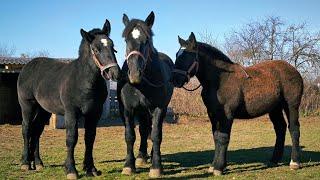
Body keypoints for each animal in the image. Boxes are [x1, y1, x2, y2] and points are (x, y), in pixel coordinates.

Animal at [17, 19, 120, 179]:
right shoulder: (71, 113)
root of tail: (27, 67)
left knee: (37, 131)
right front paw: (71, 170)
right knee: (26, 129)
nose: (115, 73)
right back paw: (26, 163)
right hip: (28, 106)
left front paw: (91, 169)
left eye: (112, 46)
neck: (84, 81)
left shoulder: (94, 114)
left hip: (43, 110)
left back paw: (38, 163)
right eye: (96, 49)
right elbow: (71, 138)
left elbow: (90, 138)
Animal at [117, 11, 174, 178]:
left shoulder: (159, 108)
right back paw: (141, 156)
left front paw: (156, 167)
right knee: (143, 131)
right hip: (142, 111)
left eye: (147, 40)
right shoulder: (127, 110)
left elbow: (156, 135)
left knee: (153, 131)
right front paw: (129, 165)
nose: (135, 74)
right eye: (126, 39)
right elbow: (130, 136)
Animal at [172, 32, 302, 176]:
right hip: (274, 109)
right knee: (280, 128)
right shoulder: (213, 114)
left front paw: (218, 168)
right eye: (177, 55)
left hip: (291, 106)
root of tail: (294, 70)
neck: (220, 79)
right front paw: (215, 165)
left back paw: (295, 162)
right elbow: (216, 137)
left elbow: (223, 138)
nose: (174, 79)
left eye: (187, 56)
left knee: (294, 128)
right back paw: (274, 160)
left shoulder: (226, 114)